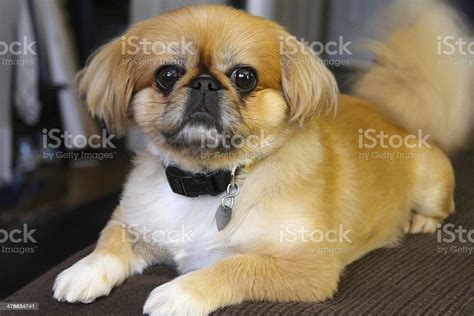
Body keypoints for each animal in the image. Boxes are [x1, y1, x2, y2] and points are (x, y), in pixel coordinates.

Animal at [51, 1, 470, 314]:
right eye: (167, 75)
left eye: (244, 77)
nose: (204, 83)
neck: (210, 180)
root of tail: (391, 118)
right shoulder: (132, 218)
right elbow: (111, 238)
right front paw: (84, 271)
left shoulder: (308, 267)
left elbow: (236, 265)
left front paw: (178, 292)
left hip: (431, 183)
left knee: (442, 206)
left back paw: (420, 221)